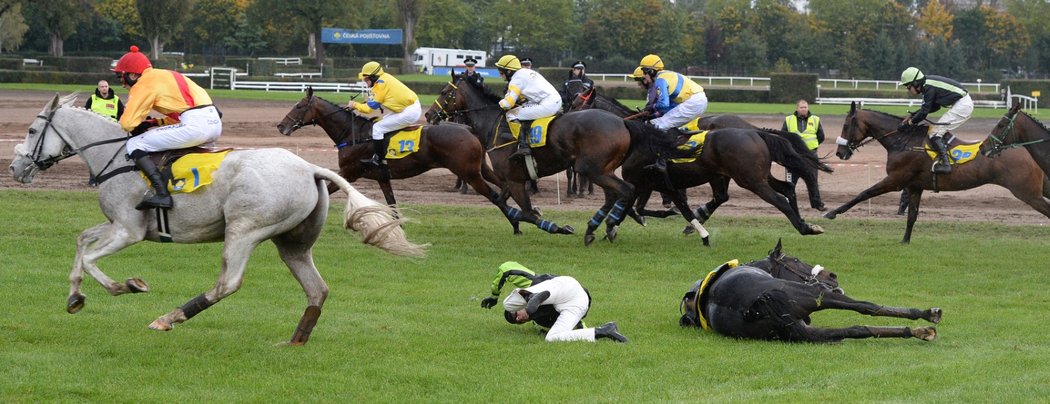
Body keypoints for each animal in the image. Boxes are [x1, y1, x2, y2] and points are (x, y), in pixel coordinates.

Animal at [8, 93, 426, 344]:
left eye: (31, 130)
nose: (14, 168)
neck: (118, 159)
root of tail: (309, 167)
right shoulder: (116, 227)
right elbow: (82, 243)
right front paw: (74, 296)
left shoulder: (128, 231)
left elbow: (94, 260)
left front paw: (127, 285)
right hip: (293, 244)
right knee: (316, 289)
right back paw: (294, 341)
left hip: (243, 231)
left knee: (228, 283)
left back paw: (169, 317)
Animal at [279, 88, 525, 232]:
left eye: (299, 106)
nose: (281, 126)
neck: (353, 134)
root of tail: (468, 129)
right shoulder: (382, 176)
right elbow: (392, 203)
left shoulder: (349, 172)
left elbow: (328, 190)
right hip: (479, 169)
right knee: (505, 186)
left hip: (469, 173)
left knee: (496, 195)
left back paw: (516, 223)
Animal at [422, 73, 692, 242]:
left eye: (444, 91)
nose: (429, 114)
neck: (494, 126)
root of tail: (623, 124)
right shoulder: (511, 179)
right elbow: (503, 202)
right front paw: (519, 224)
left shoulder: (516, 181)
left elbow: (525, 212)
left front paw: (554, 225)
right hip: (603, 168)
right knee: (616, 193)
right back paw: (599, 226)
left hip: (590, 168)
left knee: (625, 190)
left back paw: (609, 224)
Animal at [680, 239, 944, 344]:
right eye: (796, 260)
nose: (832, 276)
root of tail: (754, 306)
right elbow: (868, 307)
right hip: (819, 296)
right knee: (866, 308)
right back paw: (927, 317)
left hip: (807, 331)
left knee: (857, 329)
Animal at [823, 102, 1050, 243]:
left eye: (846, 125)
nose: (840, 152)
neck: (904, 141)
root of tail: (1027, 150)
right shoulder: (915, 185)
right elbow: (912, 215)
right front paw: (905, 240)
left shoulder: (896, 179)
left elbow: (864, 193)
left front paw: (832, 212)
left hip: (1027, 193)